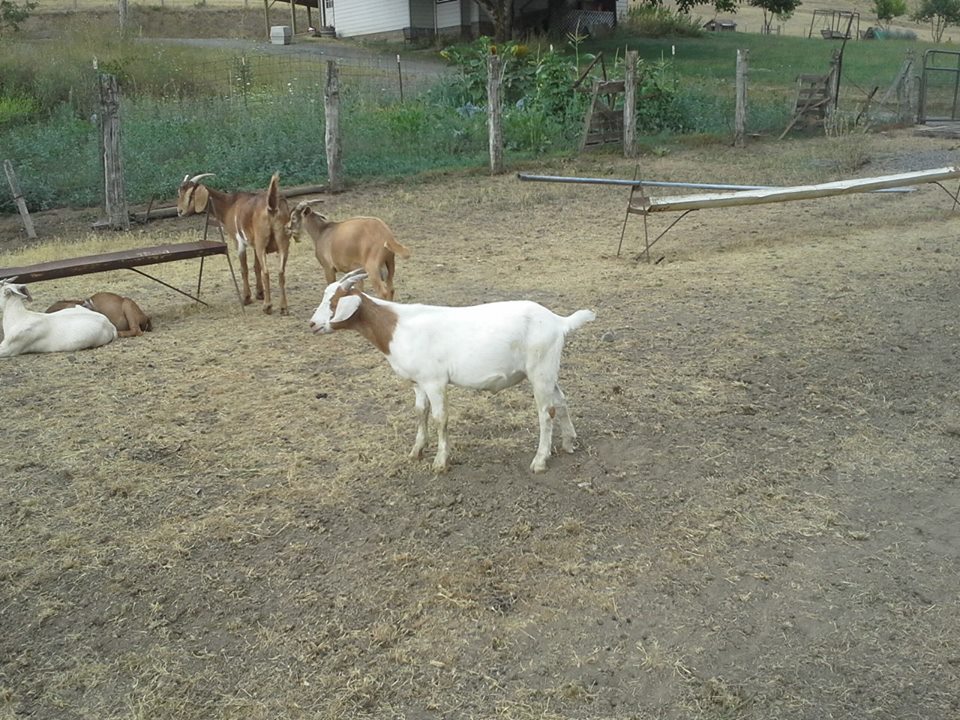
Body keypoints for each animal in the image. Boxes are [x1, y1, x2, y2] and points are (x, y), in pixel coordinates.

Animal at [177, 172, 292, 314]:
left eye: (191, 194)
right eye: (179, 193)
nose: (179, 211)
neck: (229, 205)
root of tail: (272, 206)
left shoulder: (239, 242)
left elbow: (244, 269)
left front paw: (247, 298)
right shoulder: (254, 244)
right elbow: (256, 267)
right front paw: (259, 294)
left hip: (262, 243)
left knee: (266, 272)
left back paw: (267, 306)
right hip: (283, 242)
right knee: (281, 272)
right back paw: (283, 308)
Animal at [309, 269, 596, 473]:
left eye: (334, 301)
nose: (312, 324)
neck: (396, 326)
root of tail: (559, 322)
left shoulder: (434, 381)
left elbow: (440, 418)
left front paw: (440, 461)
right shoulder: (418, 382)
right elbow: (420, 412)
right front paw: (416, 451)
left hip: (540, 369)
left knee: (546, 412)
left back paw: (539, 461)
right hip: (548, 370)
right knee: (561, 400)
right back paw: (569, 442)